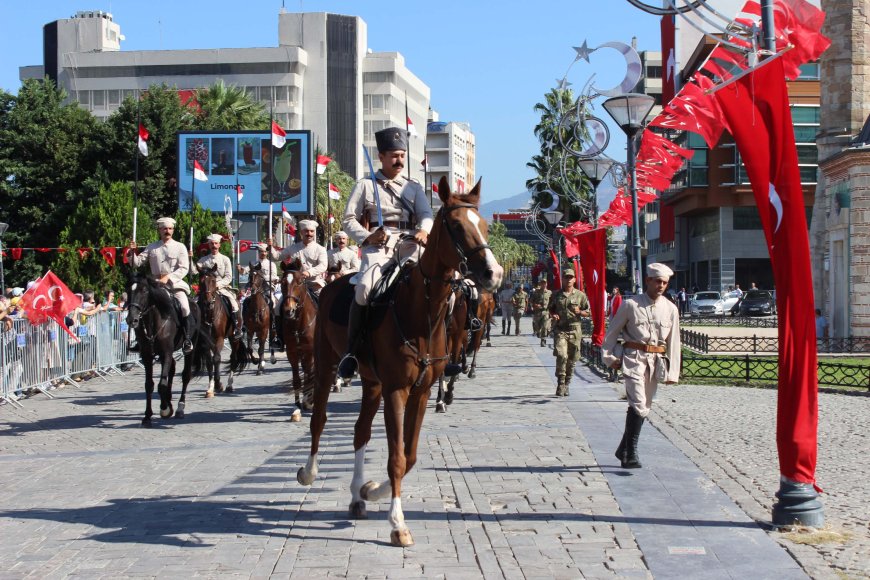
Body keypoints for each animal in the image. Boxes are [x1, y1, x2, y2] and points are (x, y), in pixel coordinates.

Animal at [197, 268, 250, 396]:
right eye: (201, 281)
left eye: (213, 280)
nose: (208, 302)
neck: (210, 314)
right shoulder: (206, 342)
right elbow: (209, 362)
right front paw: (210, 388)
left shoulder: (219, 338)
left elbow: (216, 358)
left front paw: (217, 384)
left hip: (233, 338)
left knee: (233, 358)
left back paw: (229, 385)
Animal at [298, 179, 504, 548]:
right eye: (456, 226)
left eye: (483, 225)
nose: (493, 273)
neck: (420, 311)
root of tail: (332, 284)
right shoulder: (396, 390)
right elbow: (396, 457)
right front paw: (397, 524)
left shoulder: (419, 391)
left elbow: (409, 455)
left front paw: (372, 490)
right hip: (325, 367)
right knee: (319, 420)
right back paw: (309, 472)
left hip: (371, 382)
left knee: (360, 431)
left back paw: (356, 496)